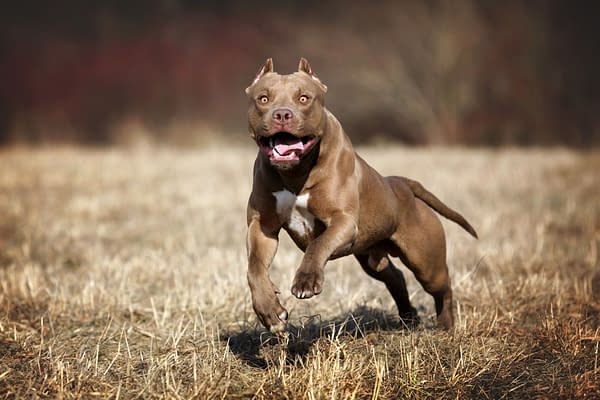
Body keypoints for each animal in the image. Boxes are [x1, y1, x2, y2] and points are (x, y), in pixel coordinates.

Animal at [244, 56, 478, 332]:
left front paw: (306, 280)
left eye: (304, 98)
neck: (295, 173)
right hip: (371, 257)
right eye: (263, 99)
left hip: (426, 263)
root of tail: (401, 184)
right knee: (395, 277)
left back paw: (445, 324)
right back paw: (408, 317)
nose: (282, 114)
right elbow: (254, 268)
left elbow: (317, 243)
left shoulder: (342, 221)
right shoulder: (262, 228)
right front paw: (269, 311)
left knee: (443, 286)